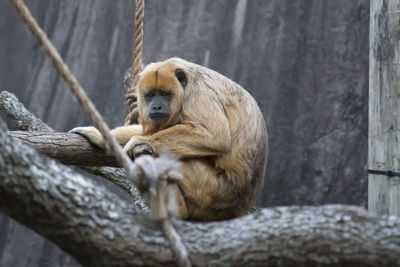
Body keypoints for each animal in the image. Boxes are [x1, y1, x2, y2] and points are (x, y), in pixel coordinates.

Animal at [70, 58, 268, 222]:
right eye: (151, 95)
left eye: (165, 94)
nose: (156, 106)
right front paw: (100, 135)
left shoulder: (198, 94)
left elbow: (216, 136)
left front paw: (142, 142)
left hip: (217, 190)